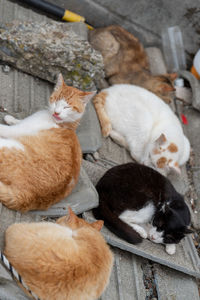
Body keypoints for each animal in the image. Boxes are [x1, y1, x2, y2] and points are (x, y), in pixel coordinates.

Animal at [0, 73, 95, 212]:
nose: (57, 112)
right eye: (55, 100)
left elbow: (5, 128)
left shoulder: (17, 131)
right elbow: (18, 122)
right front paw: (11, 118)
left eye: (67, 106)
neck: (64, 125)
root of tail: (28, 197)